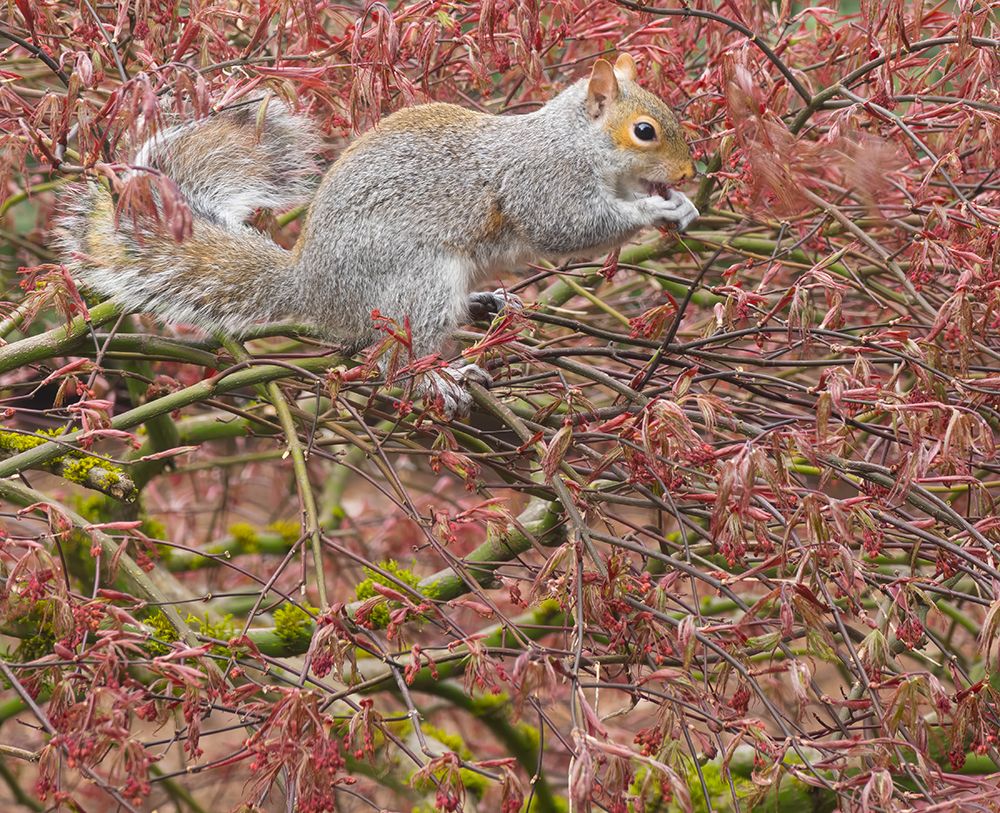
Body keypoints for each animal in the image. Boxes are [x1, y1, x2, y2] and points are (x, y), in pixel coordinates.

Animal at [59, 53, 699, 416]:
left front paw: (681, 205)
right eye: (644, 131)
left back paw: (486, 302)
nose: (691, 173)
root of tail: (312, 287)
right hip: (417, 280)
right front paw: (655, 210)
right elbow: (570, 227)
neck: (575, 143)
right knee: (395, 360)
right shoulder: (542, 182)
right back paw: (439, 378)